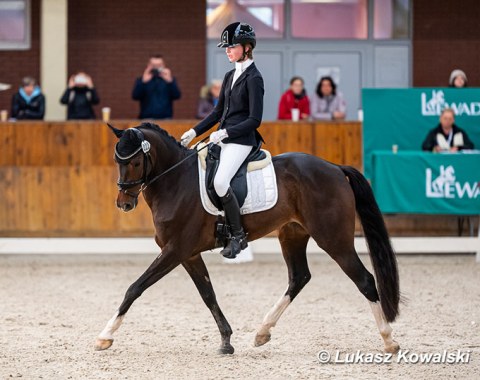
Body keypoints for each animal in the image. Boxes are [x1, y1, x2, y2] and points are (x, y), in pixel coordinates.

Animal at [94, 123, 402, 354]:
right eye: (117, 160)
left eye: (135, 161)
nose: (124, 204)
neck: (176, 181)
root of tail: (335, 168)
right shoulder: (189, 254)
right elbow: (208, 294)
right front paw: (226, 340)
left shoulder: (176, 250)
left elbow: (135, 287)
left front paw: (105, 335)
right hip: (292, 234)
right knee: (299, 277)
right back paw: (262, 332)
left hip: (333, 238)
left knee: (364, 280)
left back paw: (389, 340)